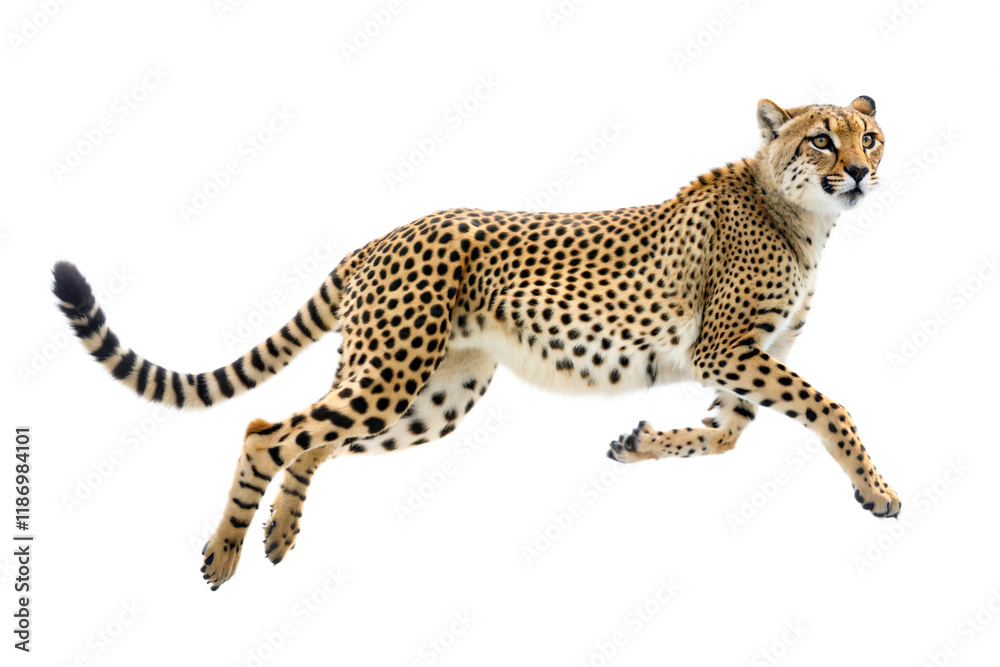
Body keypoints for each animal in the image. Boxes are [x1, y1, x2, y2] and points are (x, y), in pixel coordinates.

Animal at [52, 95, 899, 590]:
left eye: (871, 136)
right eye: (822, 140)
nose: (861, 172)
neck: (795, 211)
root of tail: (384, 236)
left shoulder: (744, 365)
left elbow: (721, 437)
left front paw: (636, 443)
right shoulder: (727, 352)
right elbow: (831, 409)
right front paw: (877, 488)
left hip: (428, 396)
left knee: (310, 438)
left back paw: (281, 529)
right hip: (391, 379)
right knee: (268, 429)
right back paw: (223, 551)